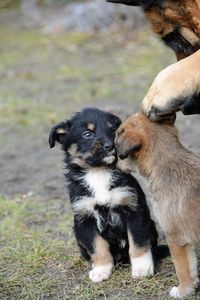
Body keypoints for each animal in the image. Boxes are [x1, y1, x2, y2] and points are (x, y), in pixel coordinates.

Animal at [48, 108, 158, 284]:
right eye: (87, 134)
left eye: (113, 130)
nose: (111, 146)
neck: (99, 172)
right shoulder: (85, 217)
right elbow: (97, 247)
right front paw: (101, 270)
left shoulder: (134, 209)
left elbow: (138, 242)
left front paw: (142, 269)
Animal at [115, 111, 200, 298]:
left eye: (115, 147)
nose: (111, 163)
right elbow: (191, 267)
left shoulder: (176, 239)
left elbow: (183, 270)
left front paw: (182, 291)